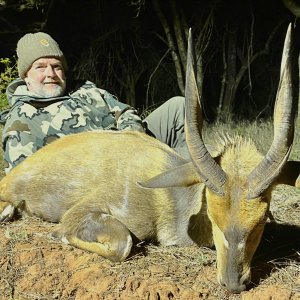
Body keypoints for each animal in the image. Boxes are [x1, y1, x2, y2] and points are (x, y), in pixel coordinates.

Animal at [0, 25, 298, 292]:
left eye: (261, 220)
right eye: (214, 217)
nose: (234, 284)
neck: (170, 200)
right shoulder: (85, 213)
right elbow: (121, 244)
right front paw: (57, 234)